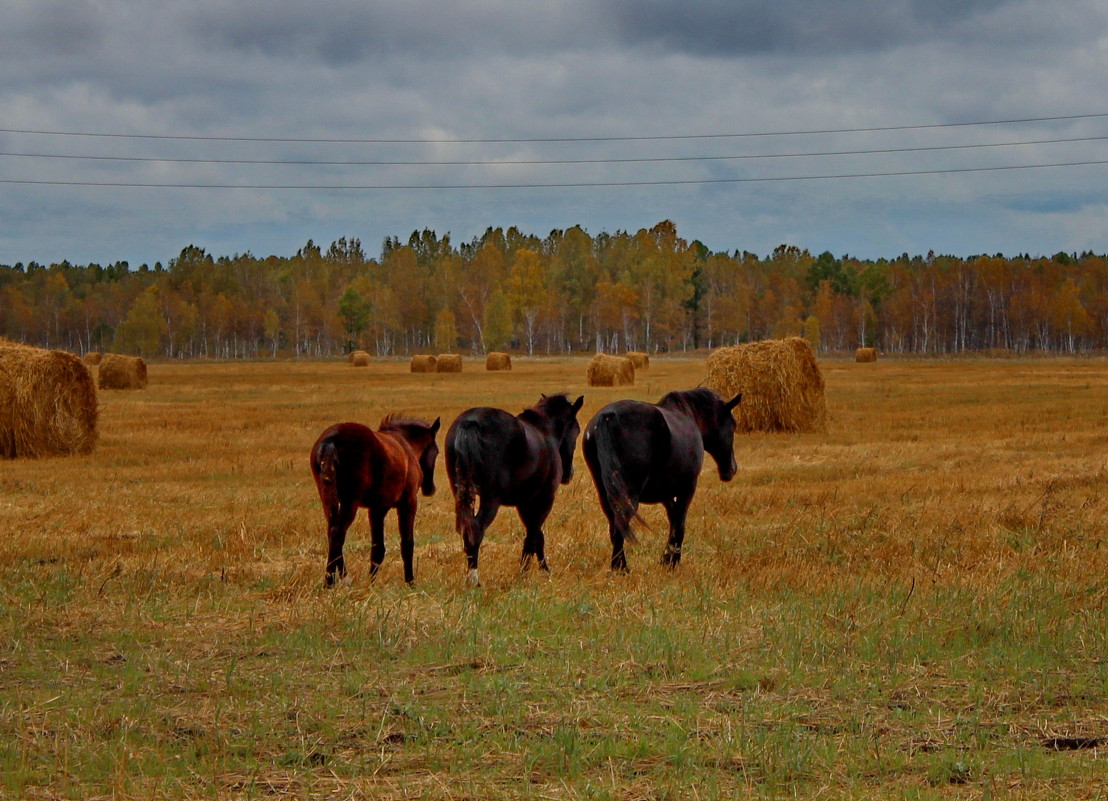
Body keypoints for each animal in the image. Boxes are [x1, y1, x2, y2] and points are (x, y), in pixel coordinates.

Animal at [310, 416, 438, 584]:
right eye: (437, 452)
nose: (430, 489)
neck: (405, 444)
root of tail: (331, 441)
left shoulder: (377, 509)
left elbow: (378, 548)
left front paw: (370, 582)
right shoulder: (408, 504)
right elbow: (407, 544)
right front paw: (410, 582)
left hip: (328, 498)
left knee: (332, 532)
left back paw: (340, 578)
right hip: (350, 502)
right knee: (338, 533)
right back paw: (331, 581)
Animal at [449, 394, 589, 589]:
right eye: (576, 429)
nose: (568, 474)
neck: (545, 431)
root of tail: (470, 422)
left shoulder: (525, 502)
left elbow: (537, 535)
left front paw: (541, 570)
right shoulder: (544, 499)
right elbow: (534, 535)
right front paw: (527, 573)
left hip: (462, 494)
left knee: (466, 529)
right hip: (491, 498)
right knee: (476, 529)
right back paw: (475, 580)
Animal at [580, 387, 744, 571]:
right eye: (733, 425)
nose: (732, 469)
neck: (687, 415)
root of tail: (609, 416)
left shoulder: (666, 494)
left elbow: (673, 521)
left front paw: (667, 559)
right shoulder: (687, 488)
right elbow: (679, 524)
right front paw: (672, 561)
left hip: (605, 492)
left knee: (614, 527)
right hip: (628, 494)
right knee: (621, 525)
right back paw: (621, 568)